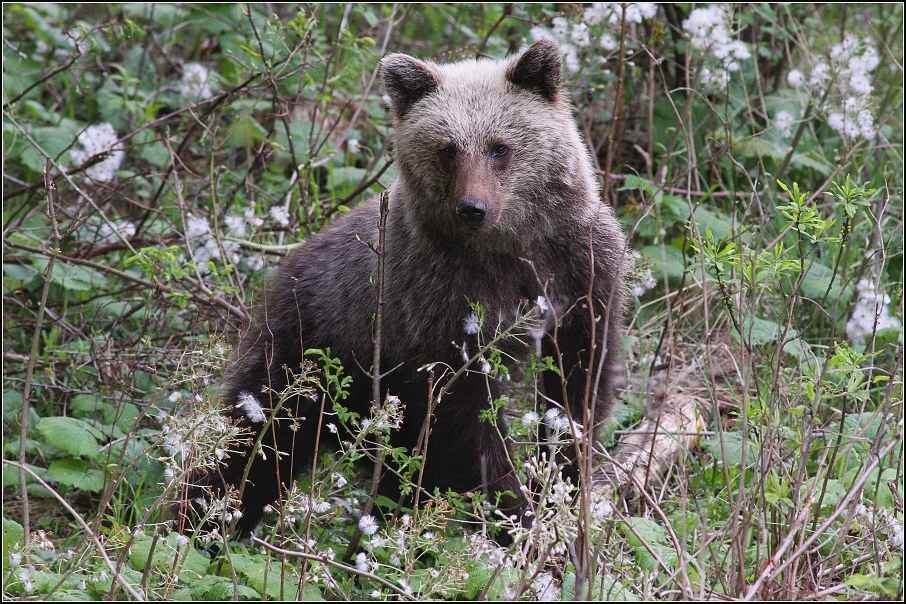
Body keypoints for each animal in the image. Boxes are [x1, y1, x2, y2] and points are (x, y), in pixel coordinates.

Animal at [184, 39, 620, 536]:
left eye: (500, 147)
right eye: (448, 149)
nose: (472, 207)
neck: (508, 249)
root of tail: (287, 268)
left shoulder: (579, 273)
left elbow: (578, 387)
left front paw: (562, 484)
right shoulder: (435, 306)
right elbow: (465, 423)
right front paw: (515, 509)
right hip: (311, 349)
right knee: (259, 441)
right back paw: (204, 520)